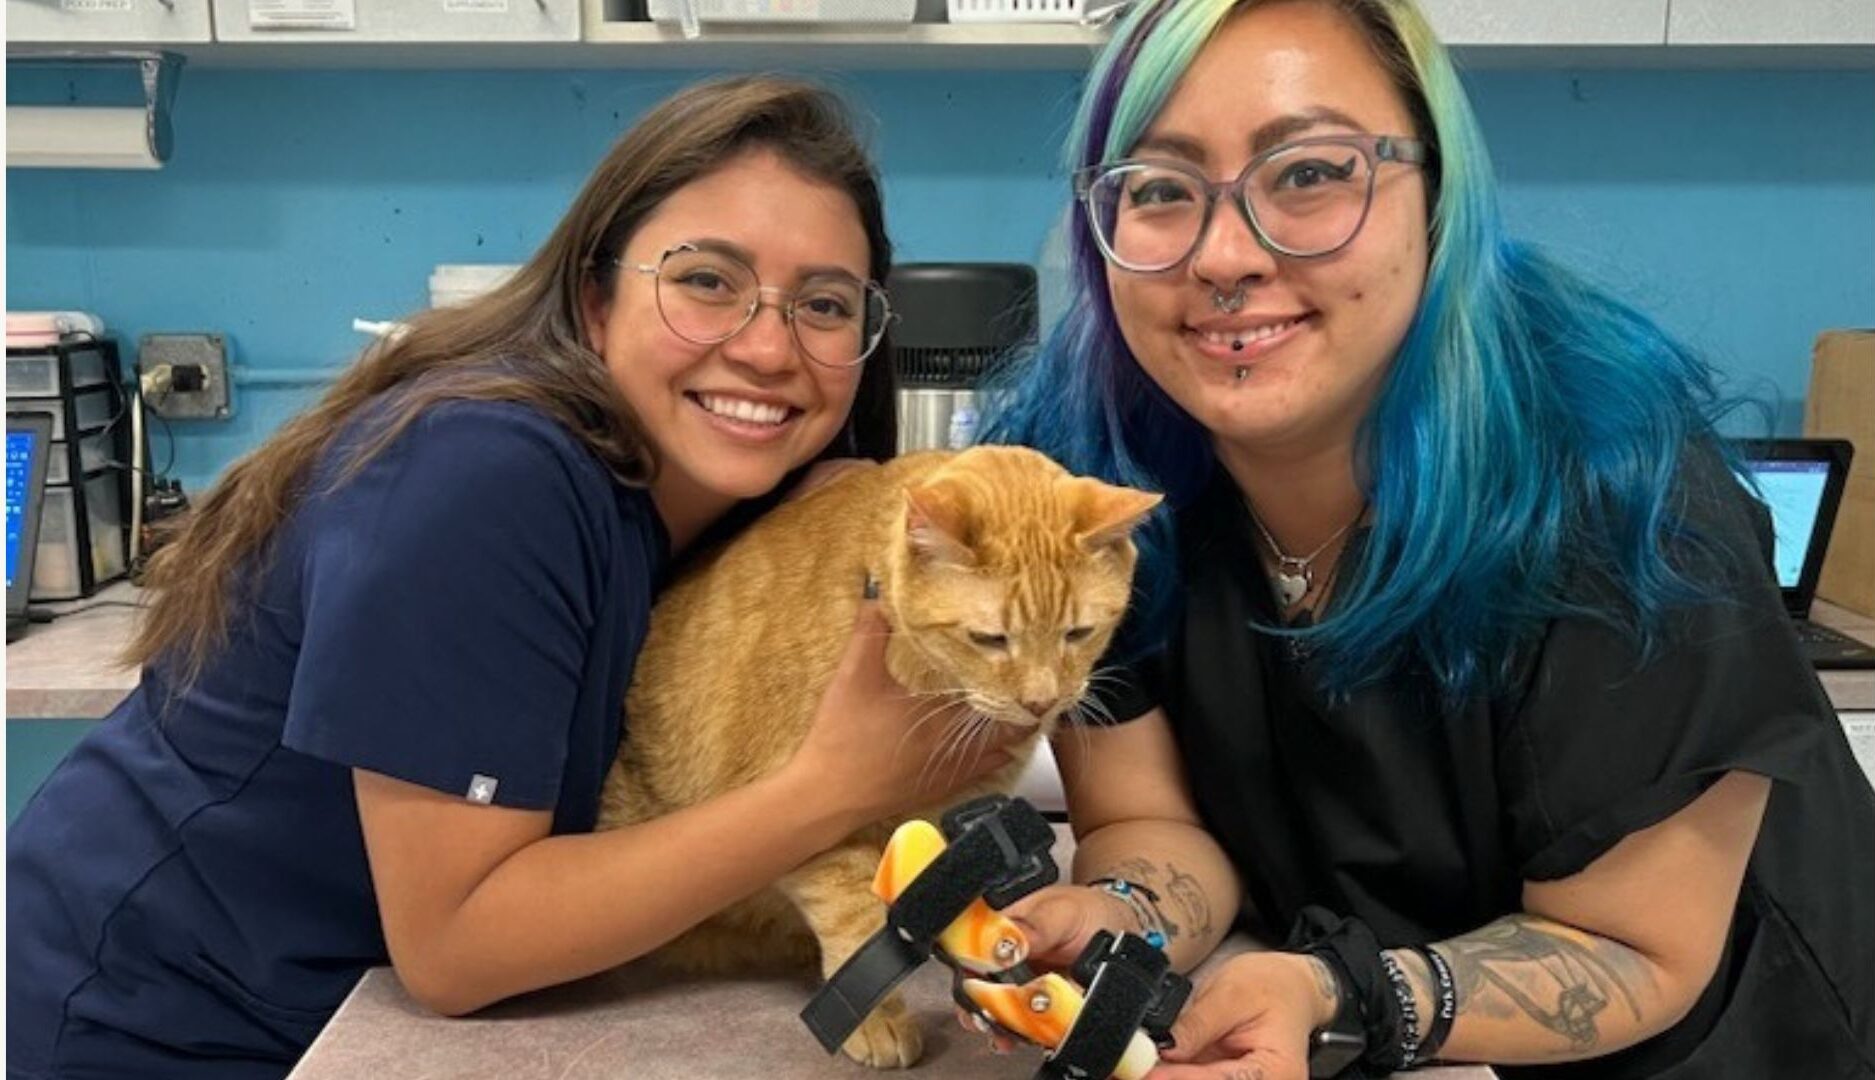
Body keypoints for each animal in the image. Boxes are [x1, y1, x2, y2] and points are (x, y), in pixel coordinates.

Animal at [596, 442, 1155, 1065]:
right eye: (989, 639)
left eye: (1078, 633)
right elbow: (856, 918)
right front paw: (878, 1018)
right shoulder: (810, 811)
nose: (1041, 701)